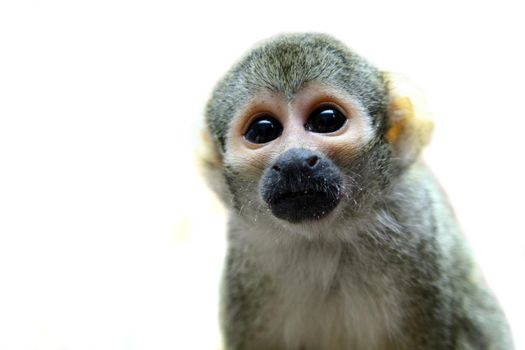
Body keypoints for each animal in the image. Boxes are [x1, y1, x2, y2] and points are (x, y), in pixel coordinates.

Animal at [202, 32, 512, 350]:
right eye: (263, 130)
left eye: (326, 120)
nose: (294, 161)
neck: (324, 239)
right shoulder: (246, 258)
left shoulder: (418, 235)